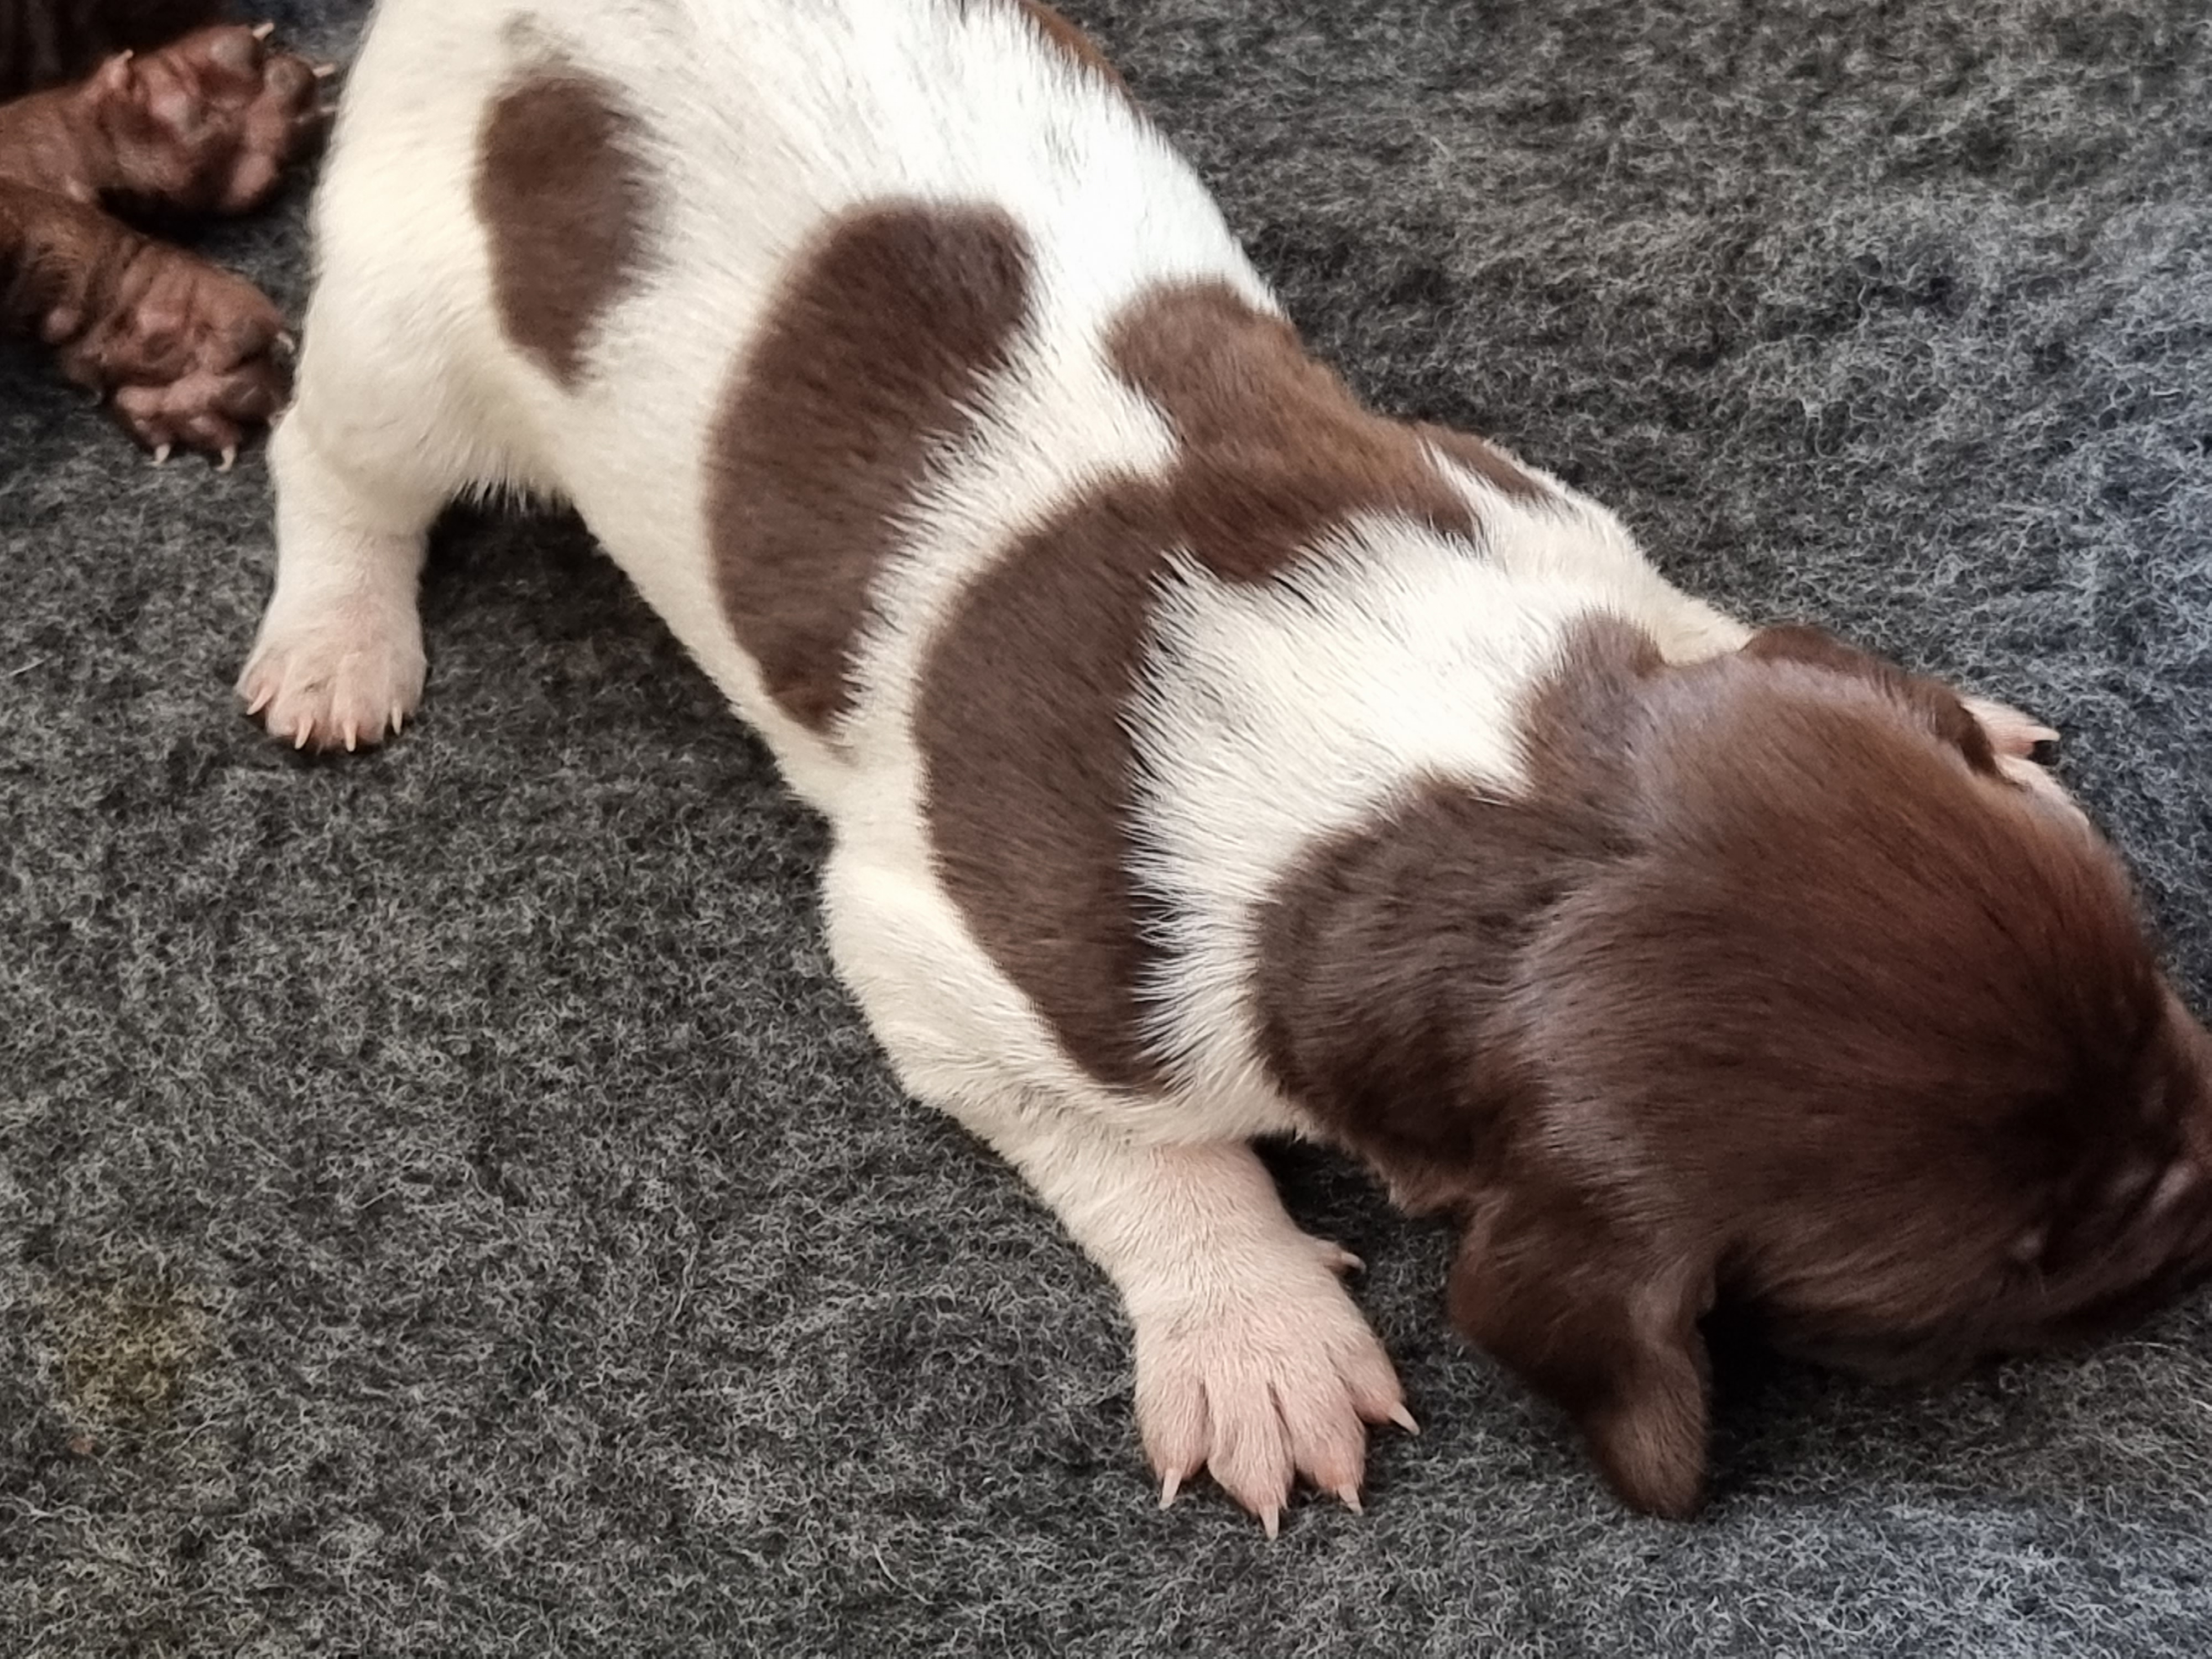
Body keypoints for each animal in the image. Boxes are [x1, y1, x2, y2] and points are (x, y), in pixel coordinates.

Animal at [236, 0, 2212, 1527]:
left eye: (2153, 996)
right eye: (2023, 1262)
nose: (2210, 1173)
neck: (1460, 786)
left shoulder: (1518, 498)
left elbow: (1672, 603)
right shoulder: (950, 963)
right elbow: (1146, 1155)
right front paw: (1254, 1338)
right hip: (407, 319)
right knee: (332, 459)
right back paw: (334, 643)